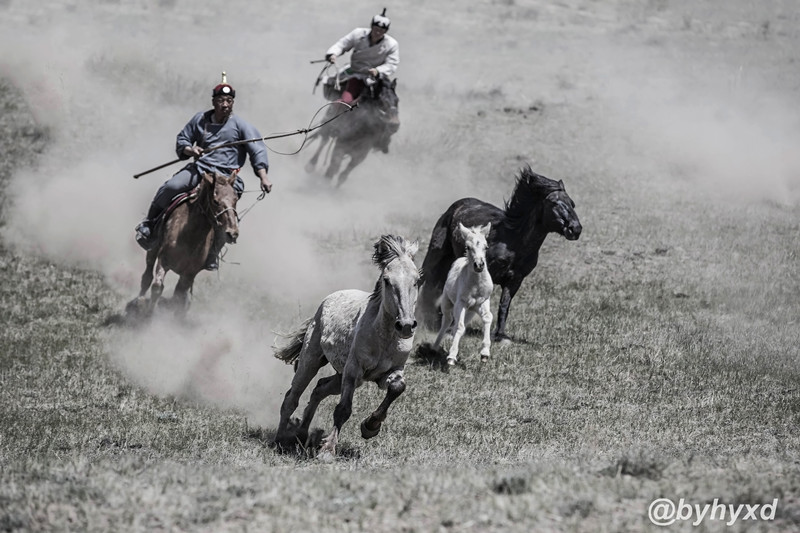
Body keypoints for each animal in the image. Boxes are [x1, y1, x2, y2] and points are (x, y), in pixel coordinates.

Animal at [126, 170, 239, 316]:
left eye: (235, 200)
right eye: (215, 201)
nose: (232, 233)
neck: (190, 236)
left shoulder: (189, 274)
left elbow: (178, 297)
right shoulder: (164, 260)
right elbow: (157, 286)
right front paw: (149, 316)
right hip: (152, 249)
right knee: (147, 276)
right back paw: (138, 301)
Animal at [418, 165, 580, 340]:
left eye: (572, 203)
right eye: (554, 202)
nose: (575, 229)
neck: (513, 243)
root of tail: (455, 207)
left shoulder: (515, 280)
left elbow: (504, 305)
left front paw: (501, 336)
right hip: (436, 254)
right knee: (422, 278)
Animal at [434, 221, 490, 366]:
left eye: (486, 247)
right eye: (468, 247)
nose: (479, 265)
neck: (475, 285)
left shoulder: (483, 301)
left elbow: (488, 318)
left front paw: (485, 353)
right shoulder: (461, 303)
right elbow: (459, 327)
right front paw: (451, 357)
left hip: (471, 311)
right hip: (447, 303)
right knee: (447, 321)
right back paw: (435, 347)